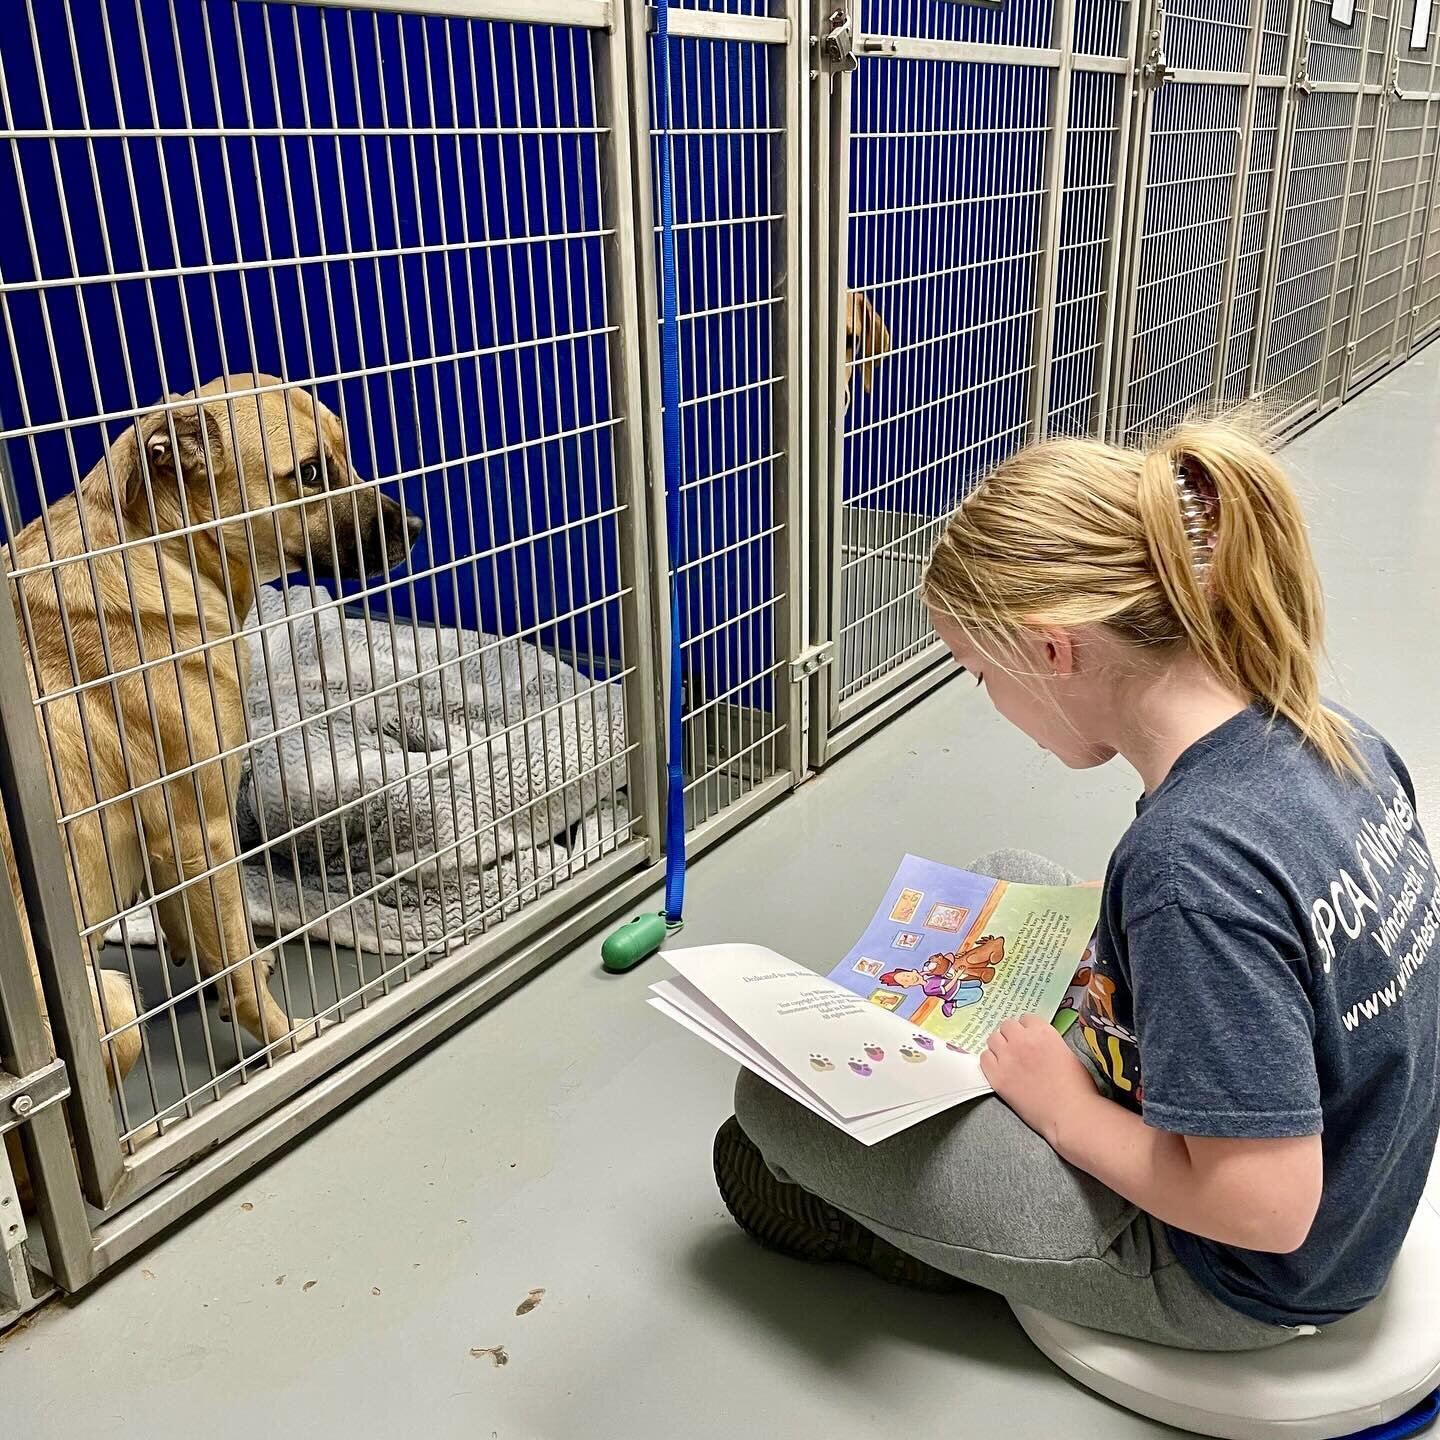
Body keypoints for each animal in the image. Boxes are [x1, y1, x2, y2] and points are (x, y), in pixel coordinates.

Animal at [2, 374, 420, 1100]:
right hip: (113, 1004)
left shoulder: (174, 846)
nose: (416, 529)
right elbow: (238, 964)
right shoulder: (202, 832)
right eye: (309, 473)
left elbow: (199, 930)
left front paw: (207, 971)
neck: (157, 546)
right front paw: (285, 1041)